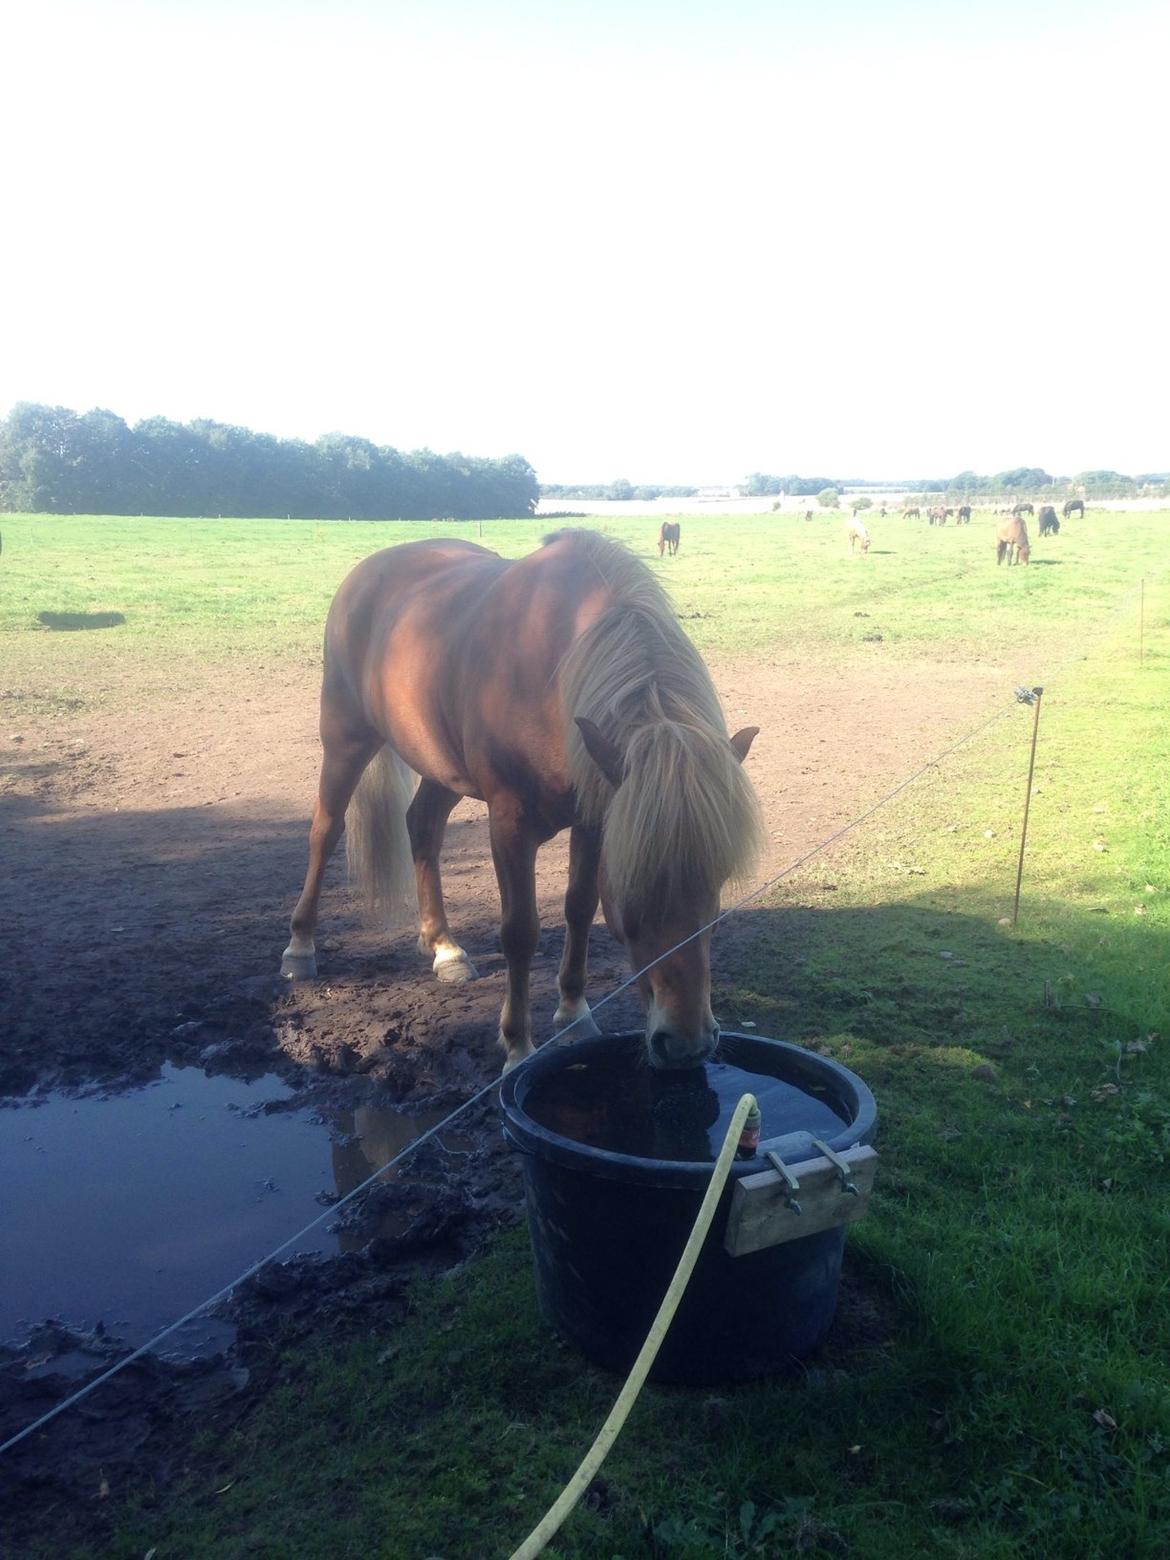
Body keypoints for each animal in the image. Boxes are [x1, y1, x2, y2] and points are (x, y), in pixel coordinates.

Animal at [282, 527, 761, 1073]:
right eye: (632, 883)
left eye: (717, 879)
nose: (686, 1044)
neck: (553, 673)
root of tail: (368, 570)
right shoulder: (510, 824)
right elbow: (520, 931)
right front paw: (517, 1046)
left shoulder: (595, 816)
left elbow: (579, 907)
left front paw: (573, 1010)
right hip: (346, 739)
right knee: (325, 829)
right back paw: (300, 947)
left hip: (442, 766)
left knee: (422, 827)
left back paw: (443, 947)